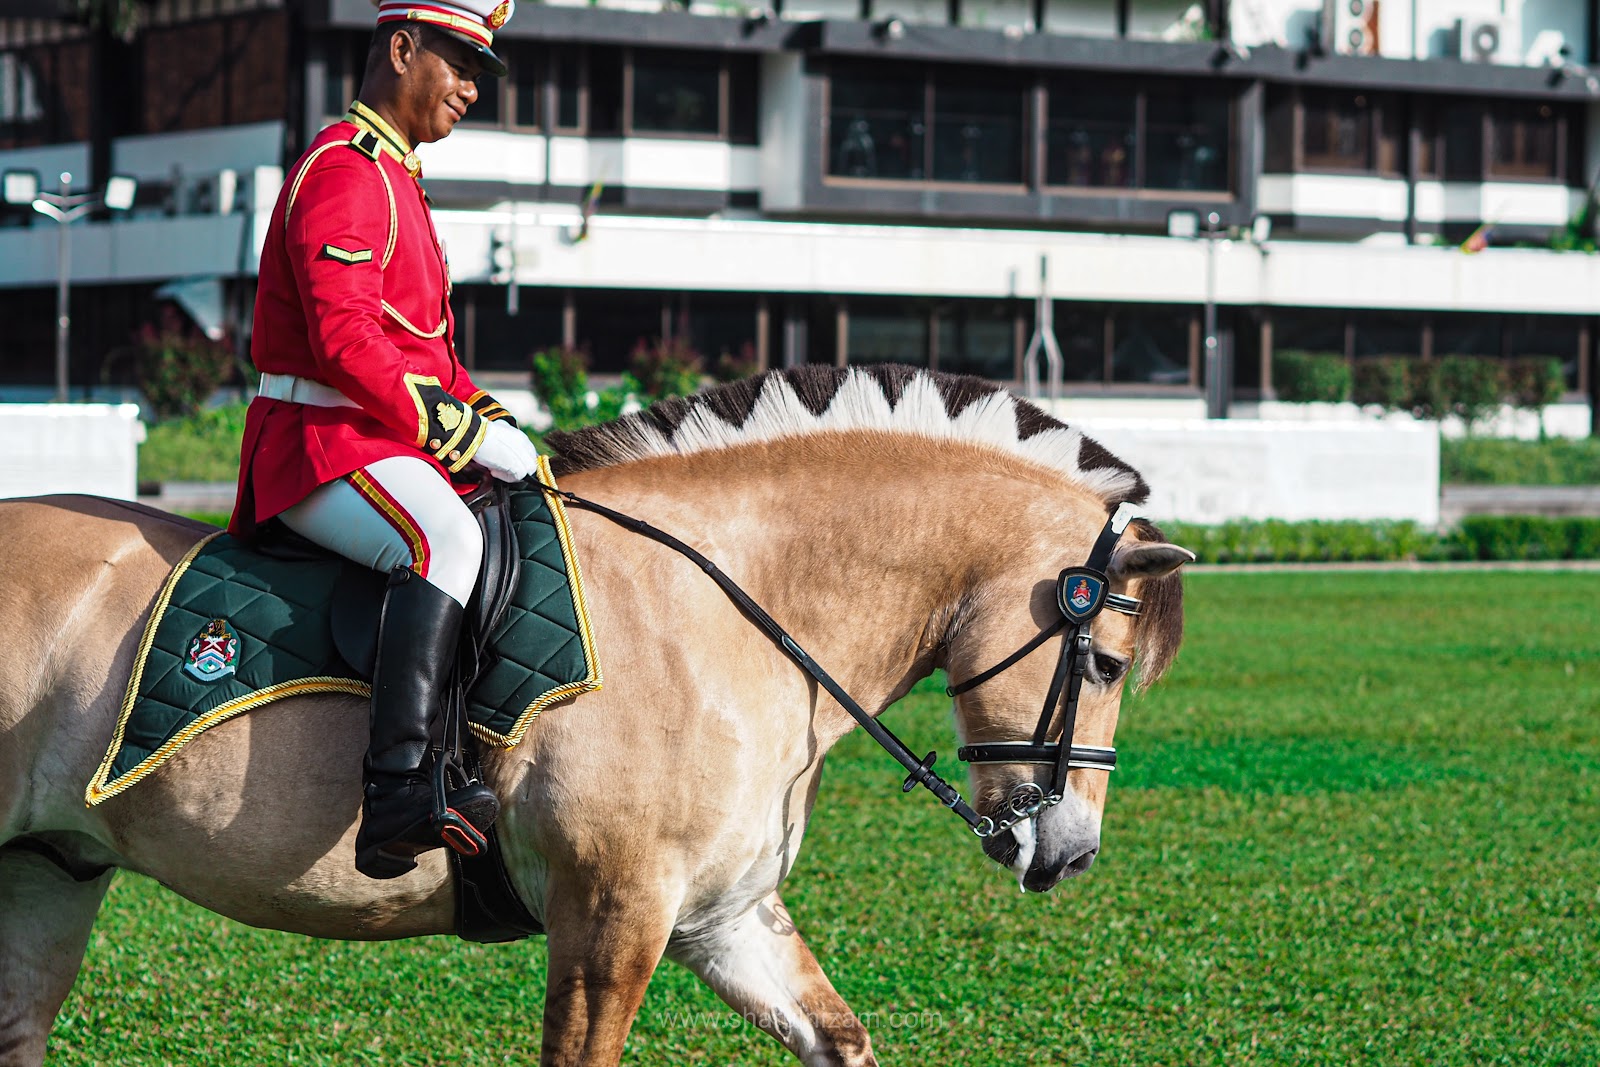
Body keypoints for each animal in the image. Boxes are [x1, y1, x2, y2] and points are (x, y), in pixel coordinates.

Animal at [0, 369, 1190, 1067]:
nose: (1069, 853)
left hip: (51, 870)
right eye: (1105, 661)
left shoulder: (724, 916)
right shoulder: (611, 919)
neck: (730, 608)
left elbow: (841, 1038)